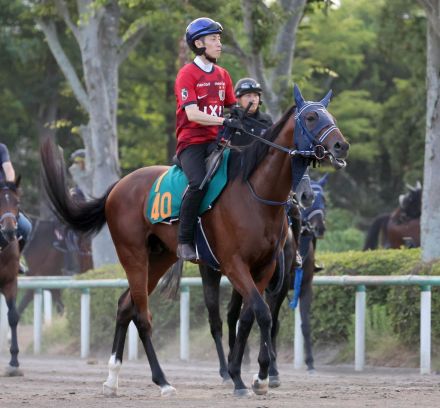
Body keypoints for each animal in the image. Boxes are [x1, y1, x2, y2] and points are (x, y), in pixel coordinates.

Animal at [39, 84, 348, 396]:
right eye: (310, 117)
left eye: (330, 115)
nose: (340, 146)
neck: (255, 194)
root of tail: (118, 186)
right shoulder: (234, 265)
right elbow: (259, 313)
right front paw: (243, 377)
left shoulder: (265, 268)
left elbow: (251, 316)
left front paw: (256, 375)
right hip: (134, 255)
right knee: (143, 315)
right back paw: (163, 381)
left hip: (160, 256)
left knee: (126, 305)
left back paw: (112, 379)